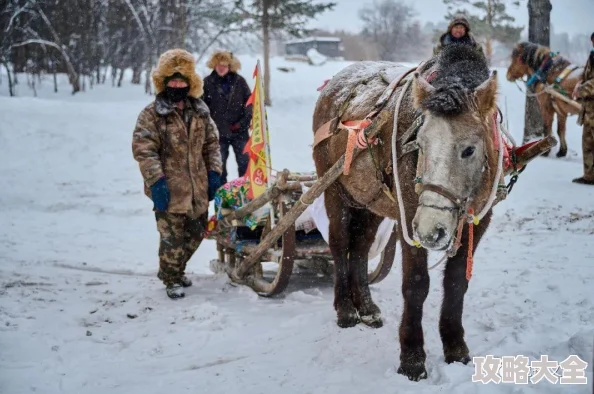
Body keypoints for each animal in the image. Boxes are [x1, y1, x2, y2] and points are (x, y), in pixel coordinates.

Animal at [310, 43, 500, 382]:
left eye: (469, 149)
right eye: (418, 143)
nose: (431, 229)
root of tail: (334, 83)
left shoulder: (479, 220)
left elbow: (456, 283)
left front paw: (455, 347)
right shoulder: (409, 216)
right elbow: (416, 284)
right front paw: (412, 357)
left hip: (370, 198)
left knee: (360, 248)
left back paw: (366, 307)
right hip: (334, 189)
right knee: (340, 244)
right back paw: (346, 309)